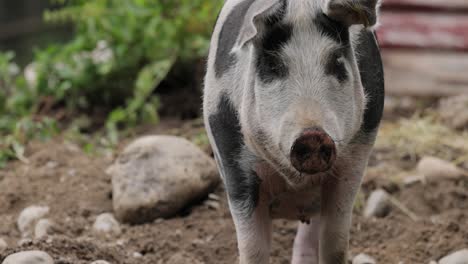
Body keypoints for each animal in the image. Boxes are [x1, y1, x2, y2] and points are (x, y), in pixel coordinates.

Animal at [204, 0, 384, 264]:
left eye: (336, 62)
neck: (295, 181)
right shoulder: (233, 162)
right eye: (273, 65)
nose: (312, 135)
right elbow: (252, 248)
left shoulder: (354, 161)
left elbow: (335, 243)